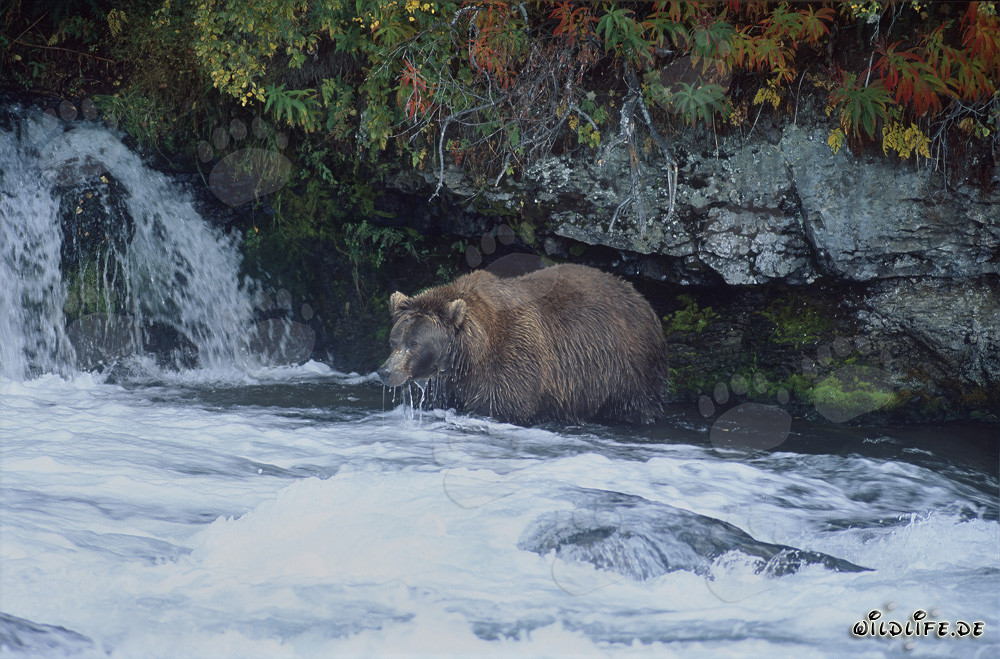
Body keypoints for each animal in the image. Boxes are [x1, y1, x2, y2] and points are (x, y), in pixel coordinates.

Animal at [377, 263, 669, 425]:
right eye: (394, 340)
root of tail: (640, 297)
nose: (385, 371)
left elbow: (504, 404)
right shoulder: (453, 382)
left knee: (636, 403)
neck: (471, 354)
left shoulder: (513, 358)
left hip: (629, 365)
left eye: (414, 343)